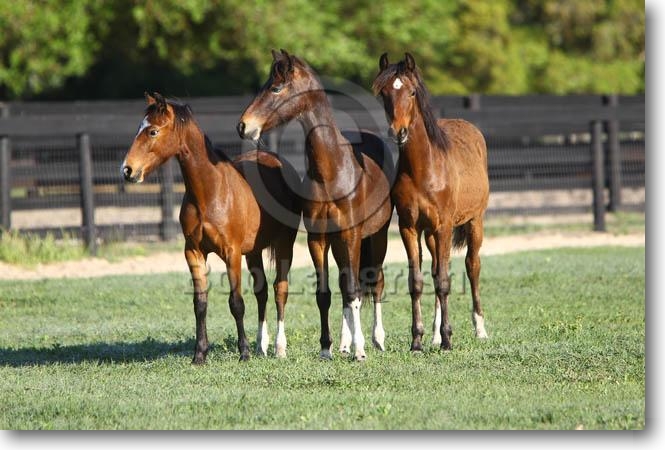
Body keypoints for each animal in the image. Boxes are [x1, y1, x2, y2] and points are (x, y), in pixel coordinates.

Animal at [121, 92, 302, 363]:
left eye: (152, 131)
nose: (128, 170)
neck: (210, 192)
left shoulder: (231, 253)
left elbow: (236, 303)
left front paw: (243, 353)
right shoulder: (194, 252)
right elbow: (200, 304)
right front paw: (200, 354)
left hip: (284, 244)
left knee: (280, 289)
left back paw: (279, 348)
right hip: (254, 251)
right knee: (262, 293)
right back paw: (262, 345)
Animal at [237, 49, 394, 361]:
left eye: (276, 88)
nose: (244, 126)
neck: (332, 172)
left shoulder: (351, 235)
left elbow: (354, 290)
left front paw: (360, 350)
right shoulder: (318, 239)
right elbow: (327, 294)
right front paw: (327, 347)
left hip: (376, 236)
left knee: (375, 282)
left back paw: (376, 339)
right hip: (338, 243)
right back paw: (345, 343)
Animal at [372, 53, 490, 351]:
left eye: (412, 92)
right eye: (384, 93)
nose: (398, 132)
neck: (424, 170)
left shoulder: (444, 226)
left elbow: (446, 281)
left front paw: (448, 339)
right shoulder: (409, 228)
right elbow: (418, 281)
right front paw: (418, 340)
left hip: (475, 221)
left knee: (472, 266)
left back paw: (480, 329)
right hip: (430, 235)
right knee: (436, 269)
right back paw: (436, 334)